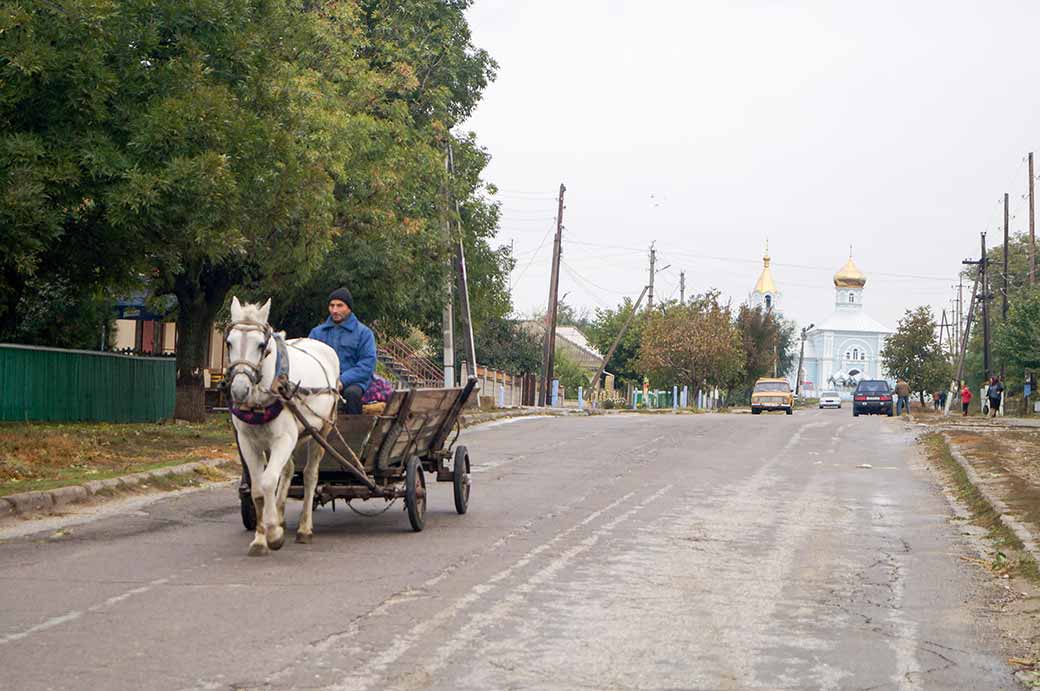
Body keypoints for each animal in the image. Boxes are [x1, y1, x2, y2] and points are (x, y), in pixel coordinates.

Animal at [225, 297, 339, 557]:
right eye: (229, 342)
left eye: (261, 346)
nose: (239, 390)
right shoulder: (248, 442)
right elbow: (258, 488)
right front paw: (260, 539)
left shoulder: (284, 438)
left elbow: (269, 481)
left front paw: (274, 534)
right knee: (287, 471)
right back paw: (279, 515)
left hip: (320, 431)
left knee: (309, 476)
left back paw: (304, 529)